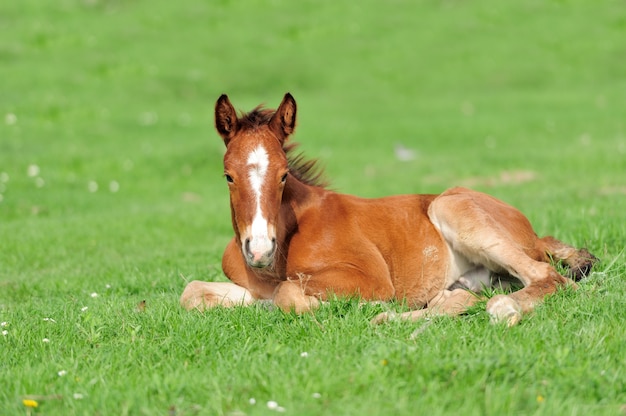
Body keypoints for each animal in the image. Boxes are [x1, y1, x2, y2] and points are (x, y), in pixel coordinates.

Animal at [180, 93, 596, 324]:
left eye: (283, 175)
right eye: (228, 176)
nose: (259, 250)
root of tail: (533, 231)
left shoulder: (370, 278)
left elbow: (287, 293)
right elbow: (191, 293)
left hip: (453, 209)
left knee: (548, 276)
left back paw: (505, 309)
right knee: (466, 295)